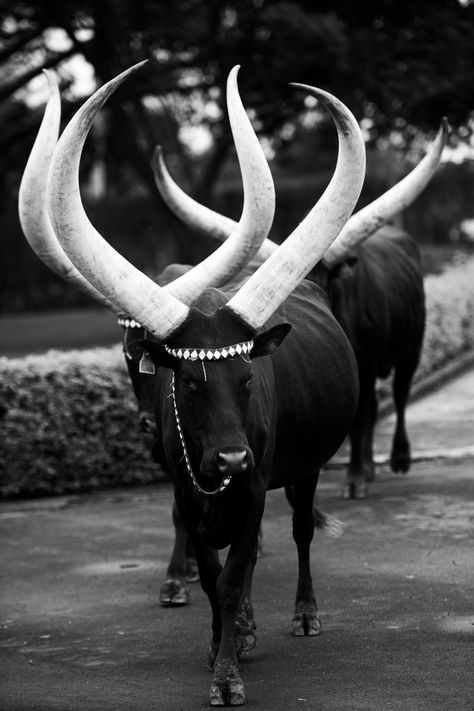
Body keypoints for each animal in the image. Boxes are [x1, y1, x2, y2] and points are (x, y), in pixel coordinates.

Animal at [44, 61, 364, 708]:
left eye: (246, 378)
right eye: (186, 381)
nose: (232, 458)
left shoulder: (252, 489)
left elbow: (238, 570)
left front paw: (228, 672)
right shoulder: (190, 495)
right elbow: (215, 578)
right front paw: (221, 643)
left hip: (303, 469)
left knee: (298, 531)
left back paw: (303, 614)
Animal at [155, 119, 448, 498]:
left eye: (326, 276)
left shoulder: (367, 362)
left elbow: (363, 415)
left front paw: (355, 477)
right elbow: (360, 415)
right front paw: (358, 473)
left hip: (412, 346)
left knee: (398, 396)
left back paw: (398, 458)